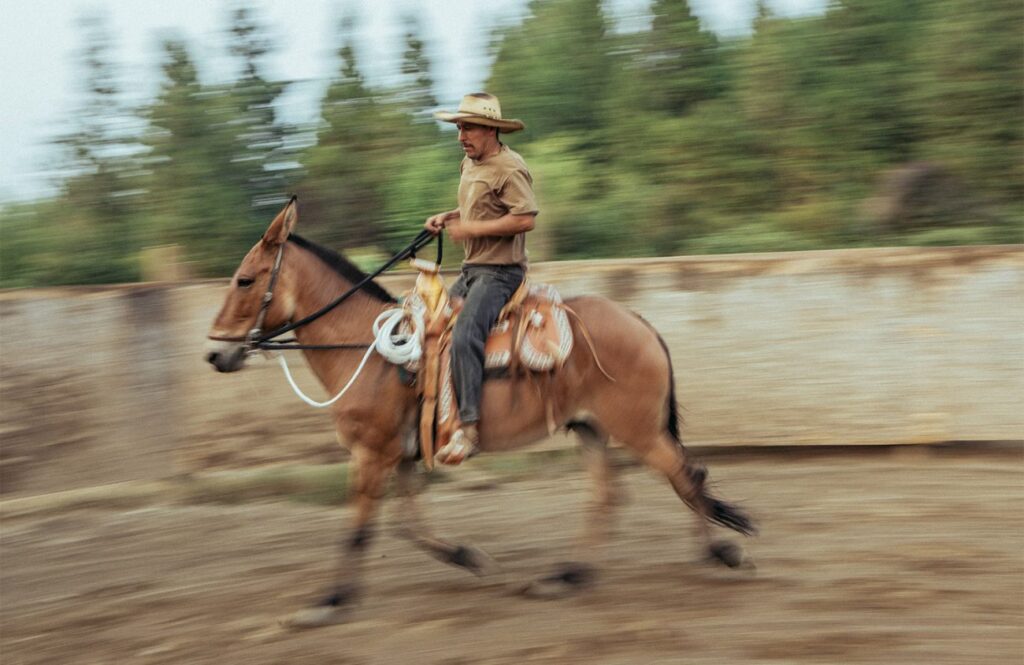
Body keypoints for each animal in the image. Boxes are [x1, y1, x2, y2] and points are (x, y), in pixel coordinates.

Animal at [203, 199, 757, 627]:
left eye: (245, 280)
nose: (214, 354)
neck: (369, 350)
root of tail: (639, 322)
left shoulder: (371, 453)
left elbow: (359, 530)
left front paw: (327, 603)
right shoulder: (397, 455)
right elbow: (407, 526)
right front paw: (469, 558)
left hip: (637, 430)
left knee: (685, 475)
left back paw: (723, 553)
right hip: (591, 428)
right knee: (610, 495)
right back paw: (567, 576)